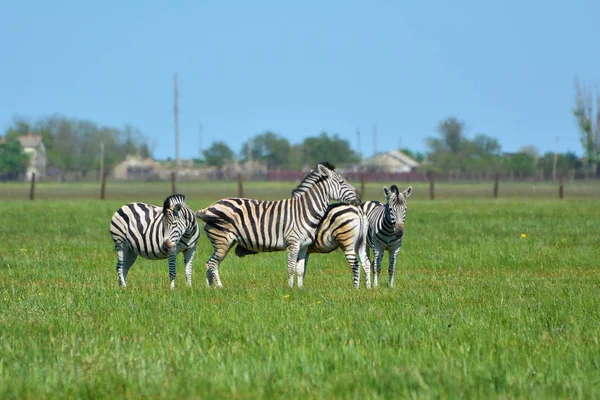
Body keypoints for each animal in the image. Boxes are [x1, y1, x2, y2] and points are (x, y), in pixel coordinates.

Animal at [196, 162, 360, 288]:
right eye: (342, 182)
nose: (359, 197)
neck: (304, 210)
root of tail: (209, 207)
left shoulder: (304, 246)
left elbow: (300, 270)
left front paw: (300, 289)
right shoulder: (293, 243)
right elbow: (291, 268)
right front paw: (290, 289)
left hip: (224, 242)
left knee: (210, 264)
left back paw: (209, 288)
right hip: (222, 240)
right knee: (212, 264)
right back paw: (220, 287)